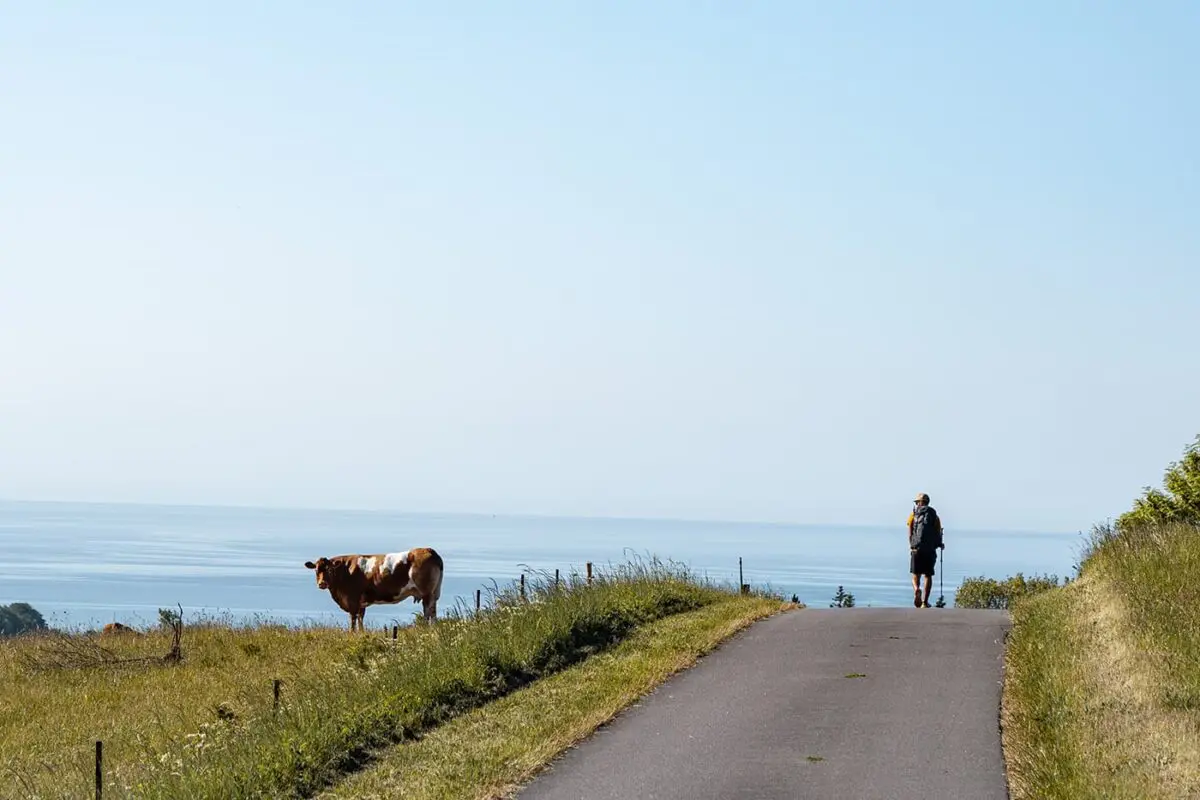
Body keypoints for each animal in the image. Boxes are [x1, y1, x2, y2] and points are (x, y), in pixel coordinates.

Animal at [304, 544, 446, 633]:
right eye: (316, 570)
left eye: (329, 570)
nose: (322, 583)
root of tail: (429, 550)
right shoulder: (361, 602)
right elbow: (361, 618)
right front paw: (361, 633)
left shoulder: (352, 599)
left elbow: (353, 618)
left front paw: (352, 633)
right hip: (434, 592)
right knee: (432, 611)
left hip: (427, 592)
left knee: (428, 611)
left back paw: (427, 628)